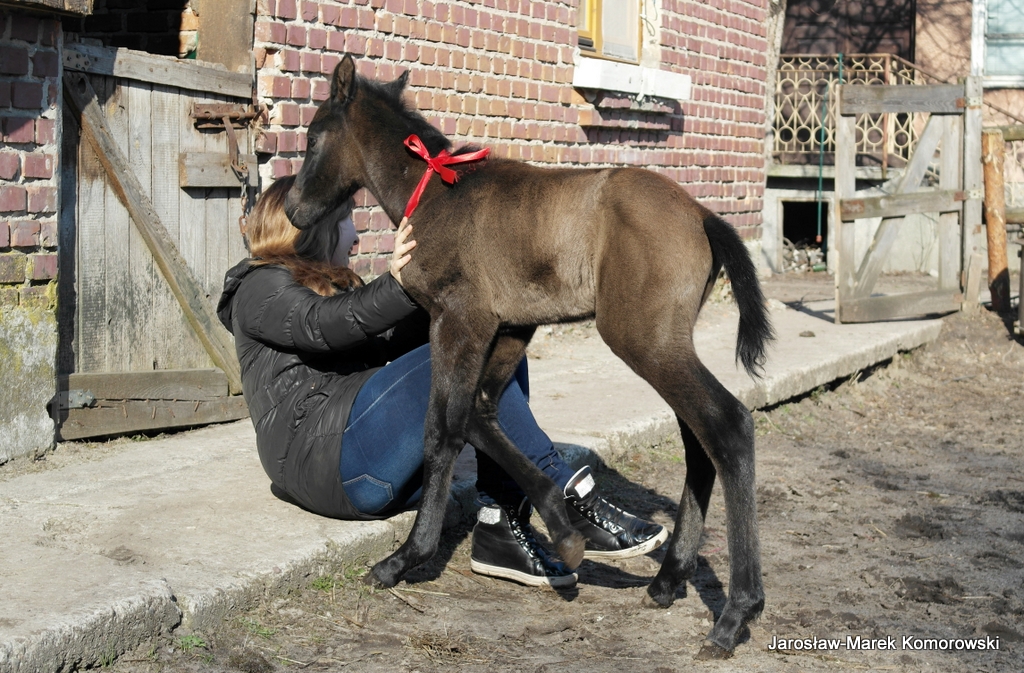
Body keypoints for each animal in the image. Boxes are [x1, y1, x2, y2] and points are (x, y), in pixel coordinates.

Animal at [284, 55, 774, 658]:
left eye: (311, 138)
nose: (293, 208)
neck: (437, 194)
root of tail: (703, 215)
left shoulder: (459, 320)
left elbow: (443, 428)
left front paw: (404, 559)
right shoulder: (512, 327)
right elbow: (479, 413)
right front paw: (562, 529)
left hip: (643, 338)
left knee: (727, 424)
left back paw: (734, 614)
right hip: (665, 342)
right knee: (697, 439)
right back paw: (667, 579)